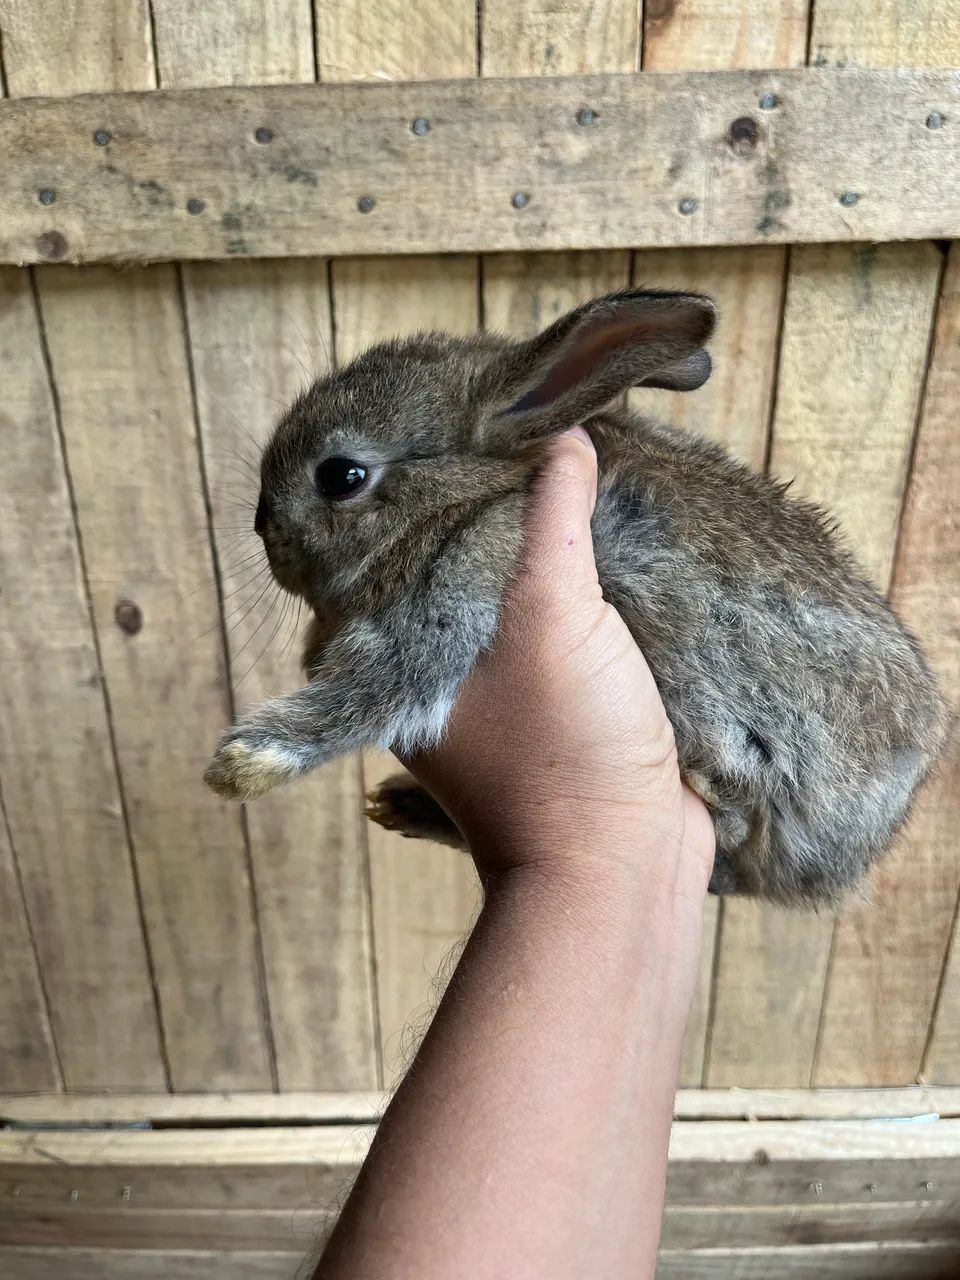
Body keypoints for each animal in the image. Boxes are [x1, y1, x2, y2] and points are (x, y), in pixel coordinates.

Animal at [203, 287, 949, 906]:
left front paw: (244, 766)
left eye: (341, 475)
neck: (471, 489)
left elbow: (393, 678)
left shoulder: (470, 560)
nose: (263, 526)